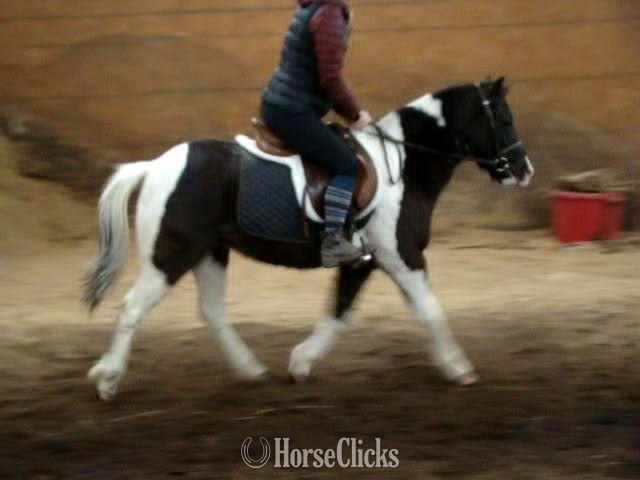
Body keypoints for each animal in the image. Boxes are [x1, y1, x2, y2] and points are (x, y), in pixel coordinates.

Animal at [84, 77, 534, 400]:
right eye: (503, 117)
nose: (523, 169)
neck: (406, 166)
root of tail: (155, 166)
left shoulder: (364, 261)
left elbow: (340, 312)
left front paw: (301, 362)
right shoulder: (401, 256)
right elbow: (429, 309)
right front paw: (460, 368)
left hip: (210, 252)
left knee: (212, 312)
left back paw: (250, 370)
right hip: (171, 253)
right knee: (131, 309)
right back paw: (108, 378)